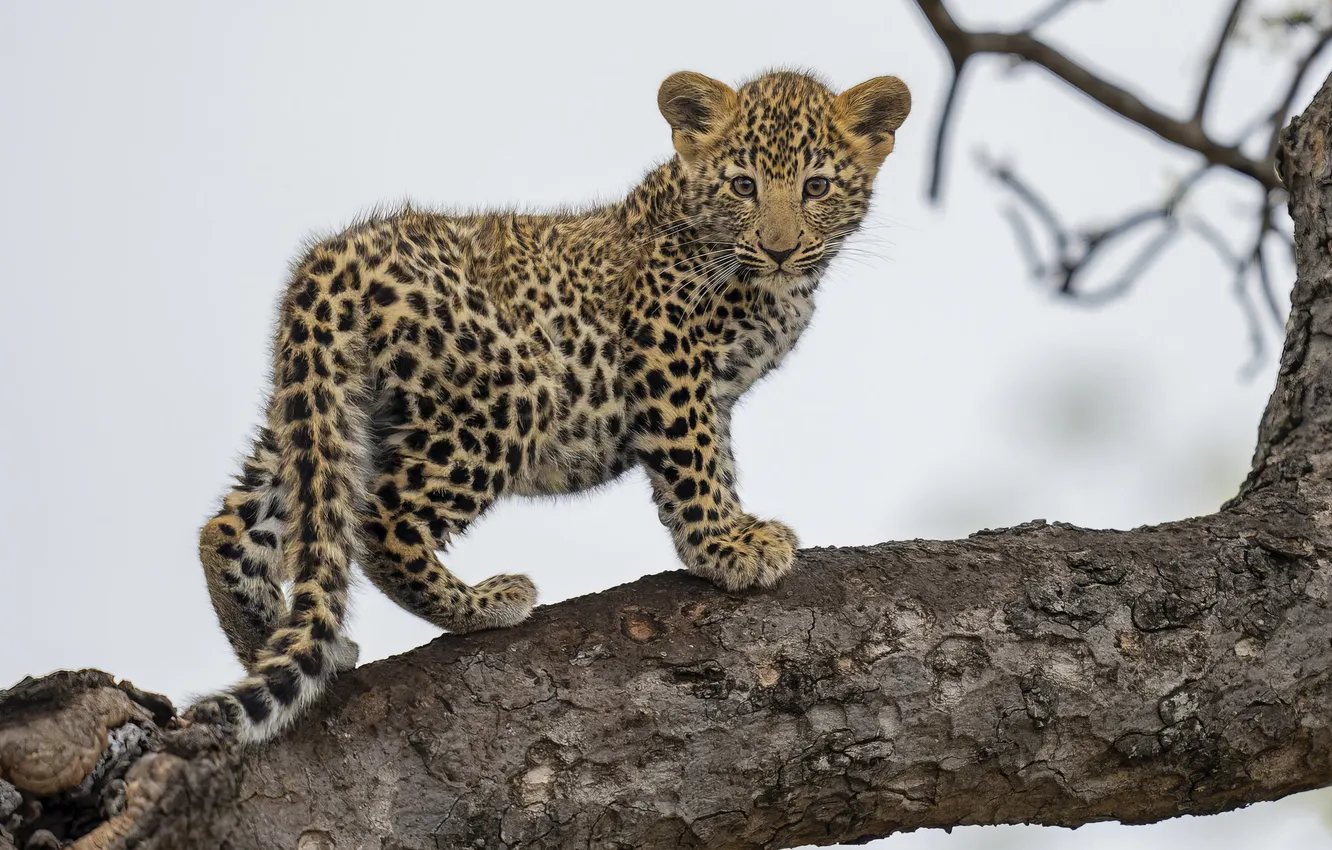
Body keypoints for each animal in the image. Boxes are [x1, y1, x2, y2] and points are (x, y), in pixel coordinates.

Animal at [185, 69, 911, 743]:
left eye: (816, 187)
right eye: (742, 186)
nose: (780, 248)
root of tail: (337, 255)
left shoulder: (718, 389)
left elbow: (721, 457)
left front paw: (737, 529)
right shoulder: (665, 339)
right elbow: (693, 457)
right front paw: (725, 547)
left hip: (325, 408)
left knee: (237, 525)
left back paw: (271, 636)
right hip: (513, 392)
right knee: (379, 521)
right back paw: (484, 603)